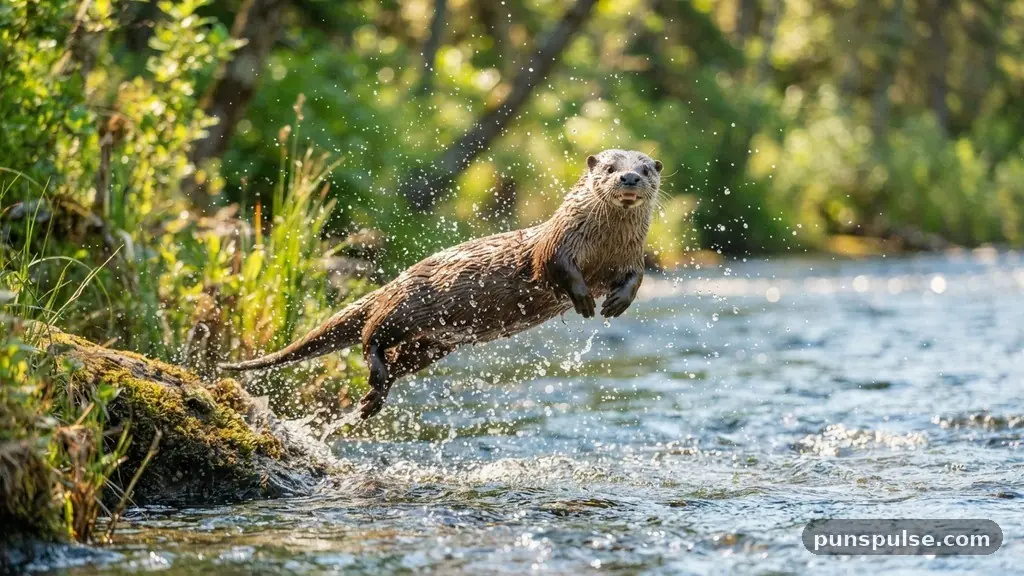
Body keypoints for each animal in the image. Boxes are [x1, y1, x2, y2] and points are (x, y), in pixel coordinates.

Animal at [219, 149, 663, 419]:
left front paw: (617, 303)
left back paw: (373, 397)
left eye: (644, 169)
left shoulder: (632, 255)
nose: (628, 178)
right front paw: (584, 300)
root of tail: (394, 281)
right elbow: (556, 268)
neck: (601, 248)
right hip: (404, 308)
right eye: (609, 168)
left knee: (395, 359)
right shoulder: (557, 244)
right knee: (370, 334)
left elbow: (637, 277)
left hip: (431, 345)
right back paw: (373, 377)